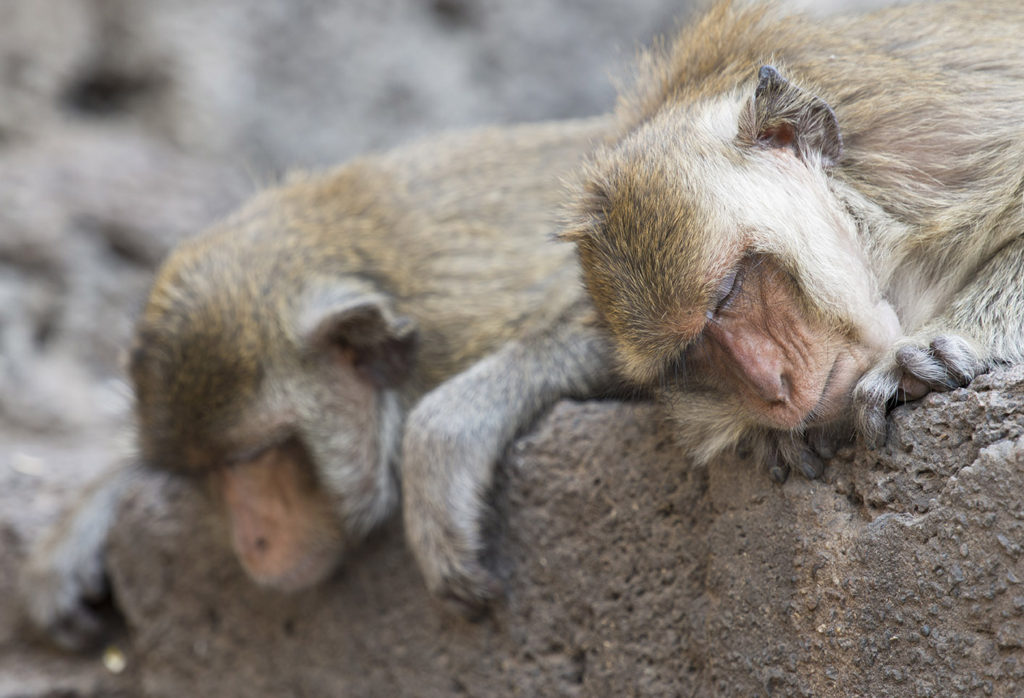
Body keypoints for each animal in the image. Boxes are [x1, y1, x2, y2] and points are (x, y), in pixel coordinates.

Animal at [22, 115, 614, 646]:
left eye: (254, 457)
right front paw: (87, 516)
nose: (252, 543)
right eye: (205, 472)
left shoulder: (473, 324)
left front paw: (444, 438)